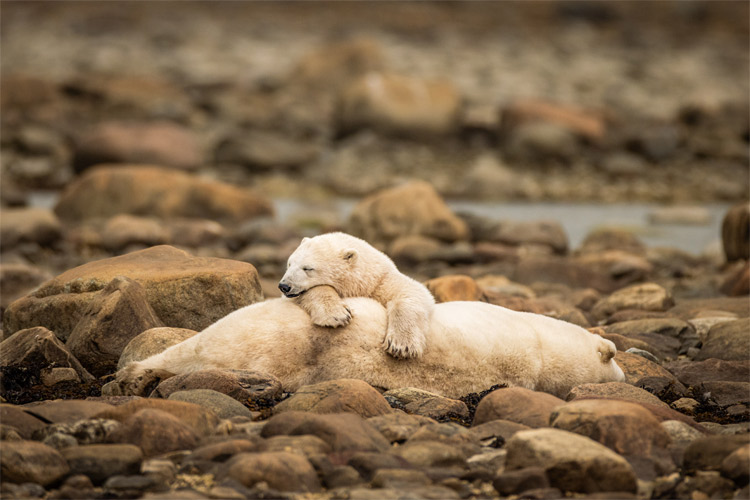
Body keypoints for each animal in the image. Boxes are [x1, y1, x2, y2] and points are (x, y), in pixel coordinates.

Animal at [280, 232, 434, 358]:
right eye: (289, 264)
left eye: (308, 268)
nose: (284, 286)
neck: (360, 283)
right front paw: (337, 315)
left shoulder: (381, 281)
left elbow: (411, 291)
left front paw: (401, 345)